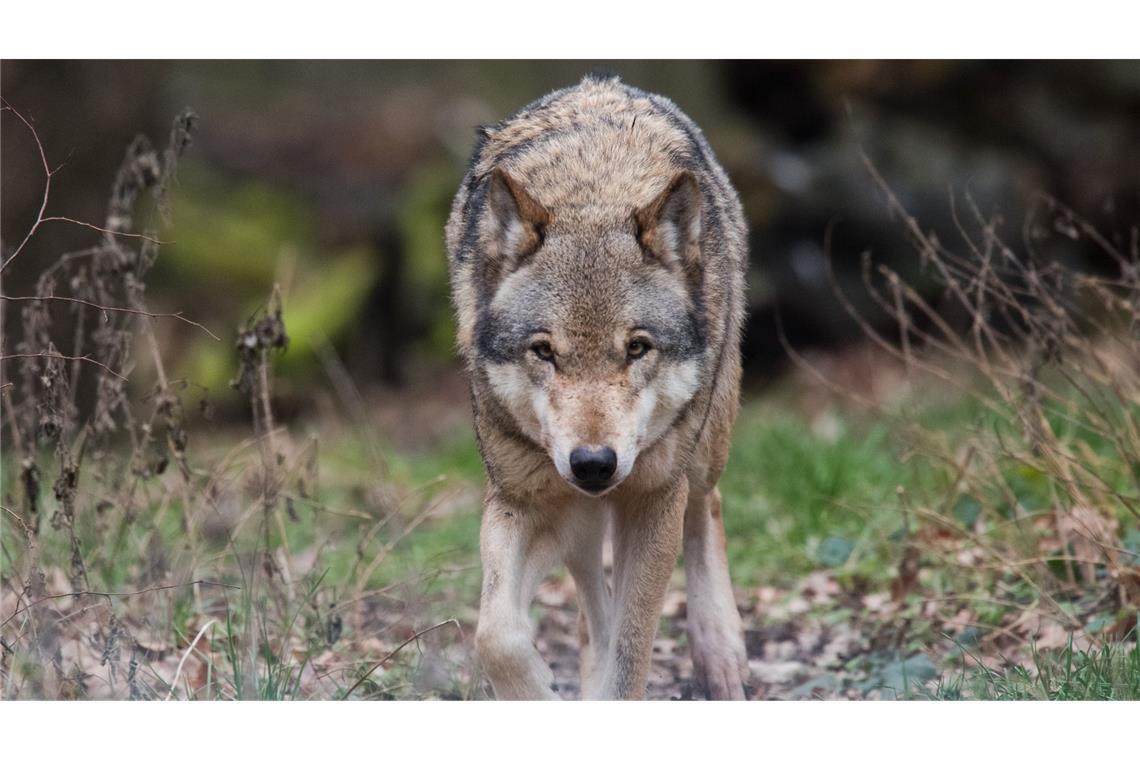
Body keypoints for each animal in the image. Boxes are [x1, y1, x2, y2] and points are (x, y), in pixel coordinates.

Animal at [445, 74, 749, 700]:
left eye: (636, 348)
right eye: (544, 351)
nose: (593, 463)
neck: (593, 192)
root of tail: (605, 82)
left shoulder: (654, 499)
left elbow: (631, 657)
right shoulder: (521, 497)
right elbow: (495, 635)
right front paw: (538, 690)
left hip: (702, 447)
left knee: (707, 505)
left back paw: (721, 654)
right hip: (577, 516)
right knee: (591, 598)